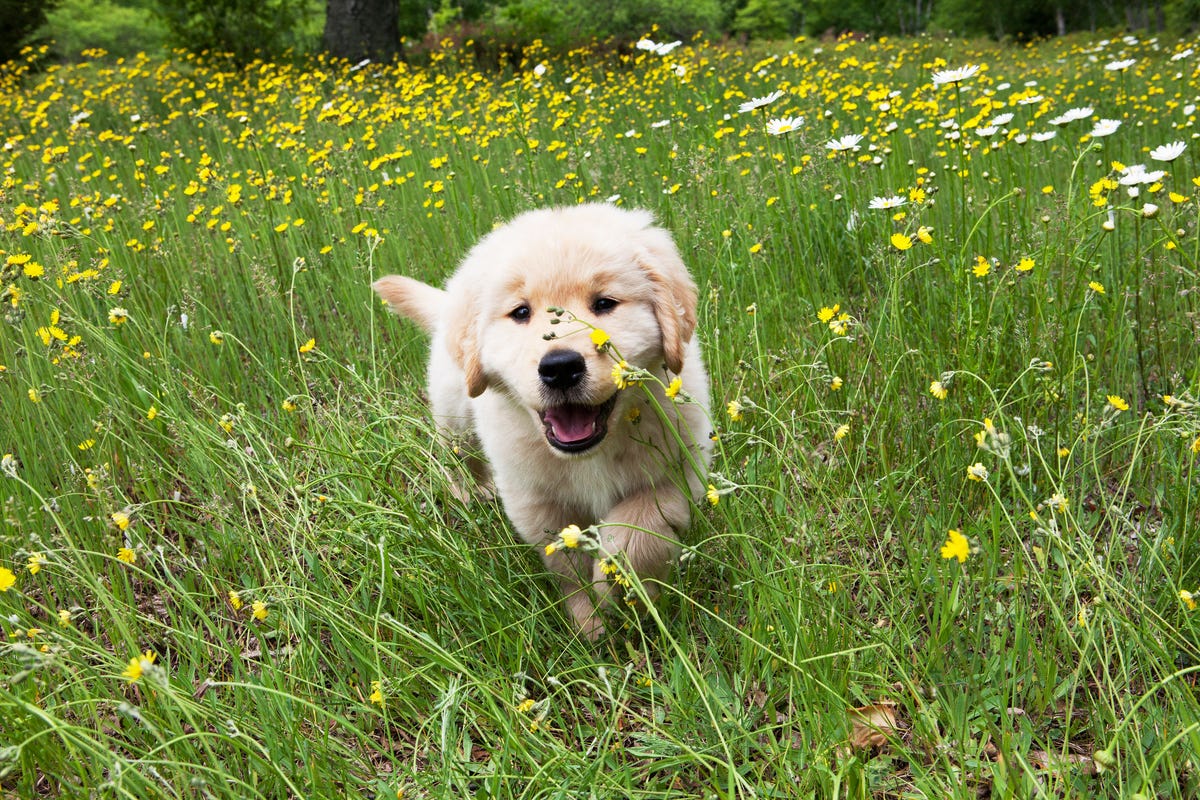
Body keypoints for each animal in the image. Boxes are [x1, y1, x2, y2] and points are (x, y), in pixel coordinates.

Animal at [374, 203, 710, 642]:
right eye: (520, 313)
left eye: (605, 303)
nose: (561, 367)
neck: (589, 455)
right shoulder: (535, 502)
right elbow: (567, 564)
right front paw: (590, 620)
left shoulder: (678, 474)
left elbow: (635, 532)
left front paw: (618, 588)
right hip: (454, 415)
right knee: (460, 456)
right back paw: (471, 493)